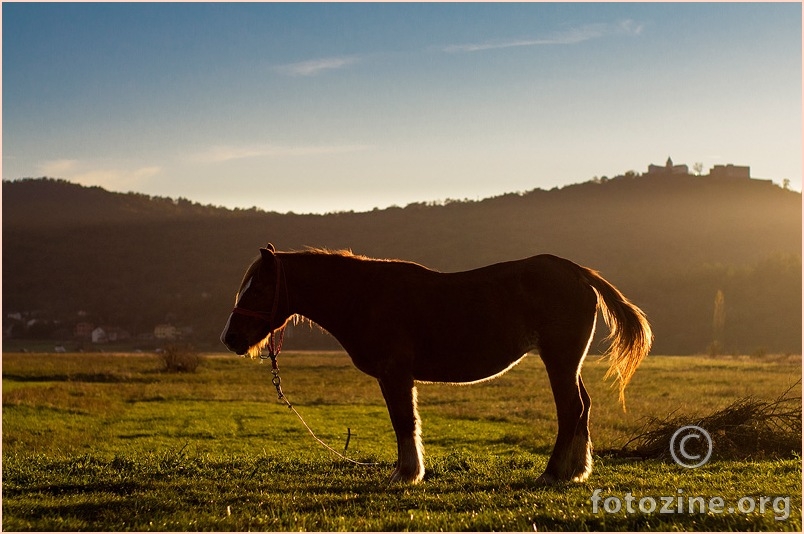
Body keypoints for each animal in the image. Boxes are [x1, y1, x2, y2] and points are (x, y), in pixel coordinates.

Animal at [220, 246, 652, 486]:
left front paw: (406, 473)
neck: (365, 296)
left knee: (571, 410)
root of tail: (577, 272)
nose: (230, 338)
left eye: (258, 288)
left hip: (559, 360)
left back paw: (551, 472)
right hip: (567, 362)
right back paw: (576, 470)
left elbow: (403, 422)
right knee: (583, 407)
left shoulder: (395, 373)